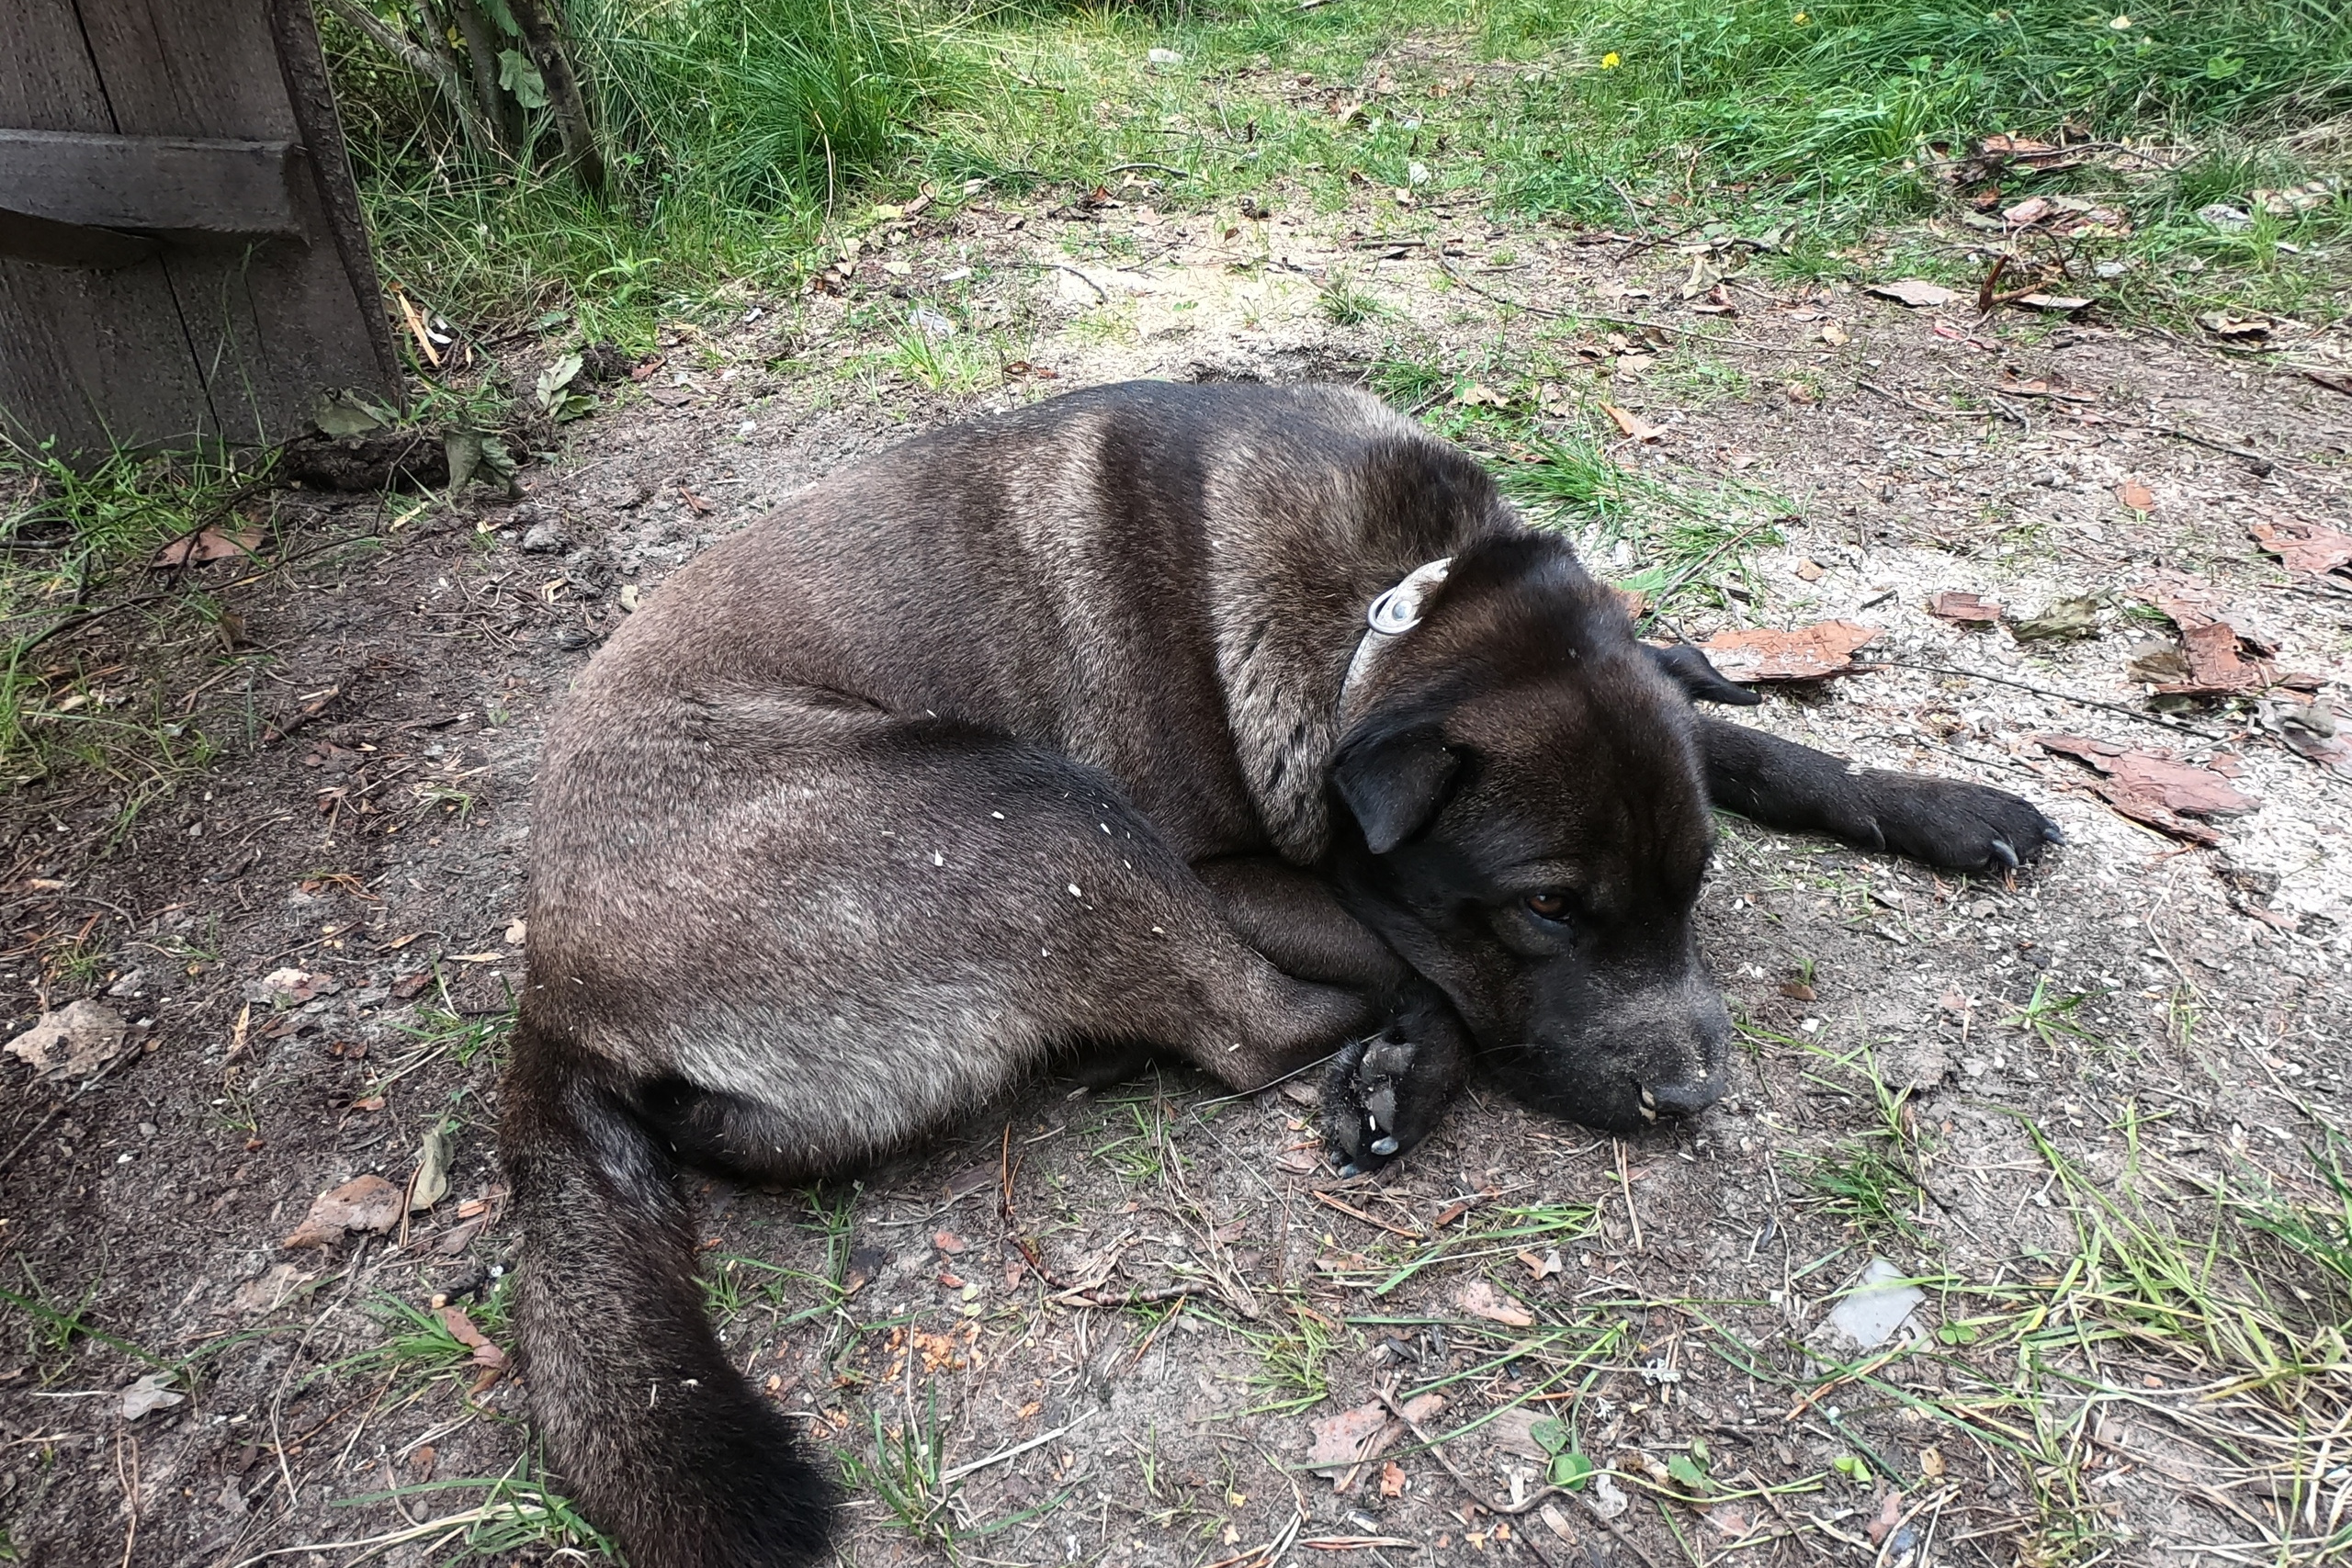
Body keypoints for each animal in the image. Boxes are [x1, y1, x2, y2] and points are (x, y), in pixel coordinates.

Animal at [501, 376, 2060, 1561]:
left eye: (1693, 890)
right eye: (1547, 909)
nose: (1691, 1094)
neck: (1394, 610)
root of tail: (552, 1001)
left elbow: (1750, 744)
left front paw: (1938, 802)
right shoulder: (1235, 871)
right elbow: (1408, 949)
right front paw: (1421, 1051)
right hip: (1039, 803)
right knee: (1250, 1025)